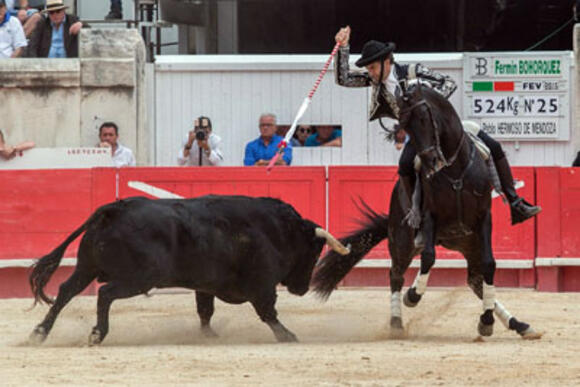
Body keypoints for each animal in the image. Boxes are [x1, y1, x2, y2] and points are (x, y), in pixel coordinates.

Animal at [29, 196, 348, 344]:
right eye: (314, 251)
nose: (302, 288)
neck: (277, 230)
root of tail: (114, 209)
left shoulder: (205, 285)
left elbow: (205, 311)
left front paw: (209, 336)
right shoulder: (262, 285)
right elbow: (268, 312)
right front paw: (288, 336)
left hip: (86, 267)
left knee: (65, 291)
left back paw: (39, 332)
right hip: (139, 277)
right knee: (105, 293)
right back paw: (97, 333)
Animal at [314, 85, 540, 340]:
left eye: (424, 118)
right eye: (404, 124)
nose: (431, 160)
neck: (456, 168)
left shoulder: (484, 218)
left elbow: (490, 264)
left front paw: (487, 321)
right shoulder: (430, 217)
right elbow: (429, 258)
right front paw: (412, 295)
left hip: (469, 242)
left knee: (475, 279)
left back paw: (518, 324)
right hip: (403, 241)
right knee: (396, 274)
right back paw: (396, 322)